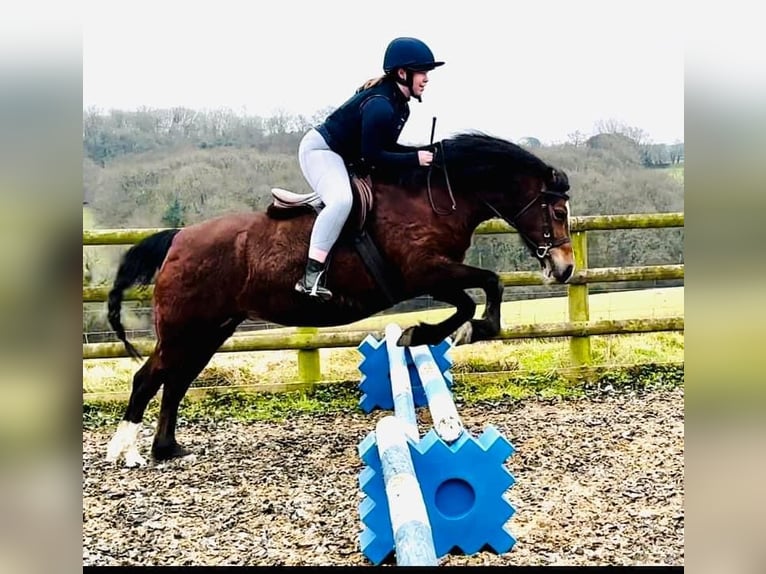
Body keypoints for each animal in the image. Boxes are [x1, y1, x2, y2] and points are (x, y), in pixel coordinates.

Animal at [106, 132, 576, 468]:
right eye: (557, 213)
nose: (565, 268)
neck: (436, 199)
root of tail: (178, 238)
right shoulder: (424, 273)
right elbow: (485, 290)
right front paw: (429, 333)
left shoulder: (430, 278)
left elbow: (477, 296)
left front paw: (435, 332)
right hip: (185, 329)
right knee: (149, 378)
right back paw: (125, 452)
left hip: (211, 330)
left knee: (176, 381)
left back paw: (168, 448)